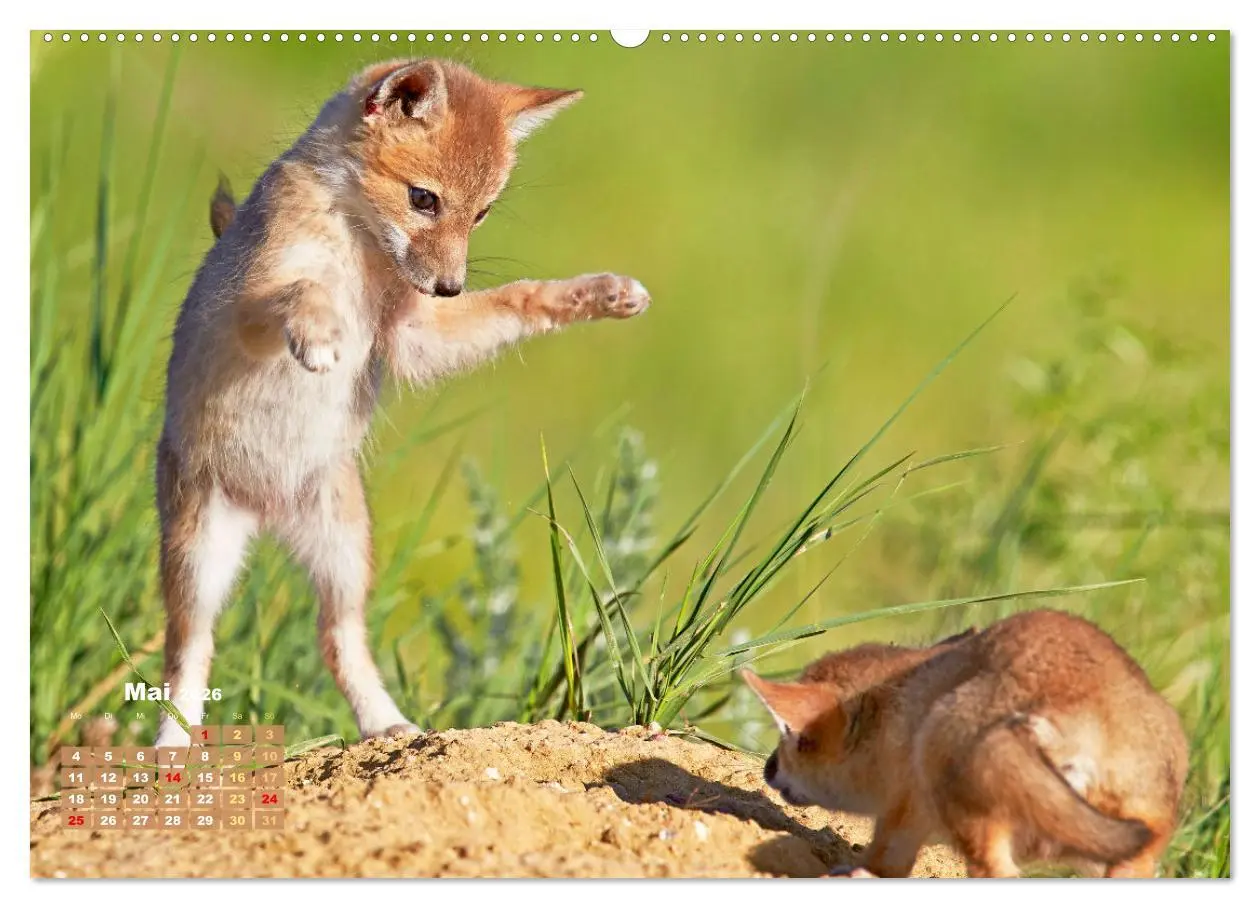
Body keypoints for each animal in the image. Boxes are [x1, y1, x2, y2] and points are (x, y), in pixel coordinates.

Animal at [154, 58, 650, 748]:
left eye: (481, 214)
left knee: (336, 643)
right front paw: (319, 331)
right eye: (424, 199)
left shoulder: (414, 336)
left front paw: (599, 293)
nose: (450, 286)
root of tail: (266, 510)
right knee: (188, 655)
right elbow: (302, 290)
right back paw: (170, 748)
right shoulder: (245, 309)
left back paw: (387, 726)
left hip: (342, 557)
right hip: (199, 566)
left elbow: (518, 297)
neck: (355, 249)